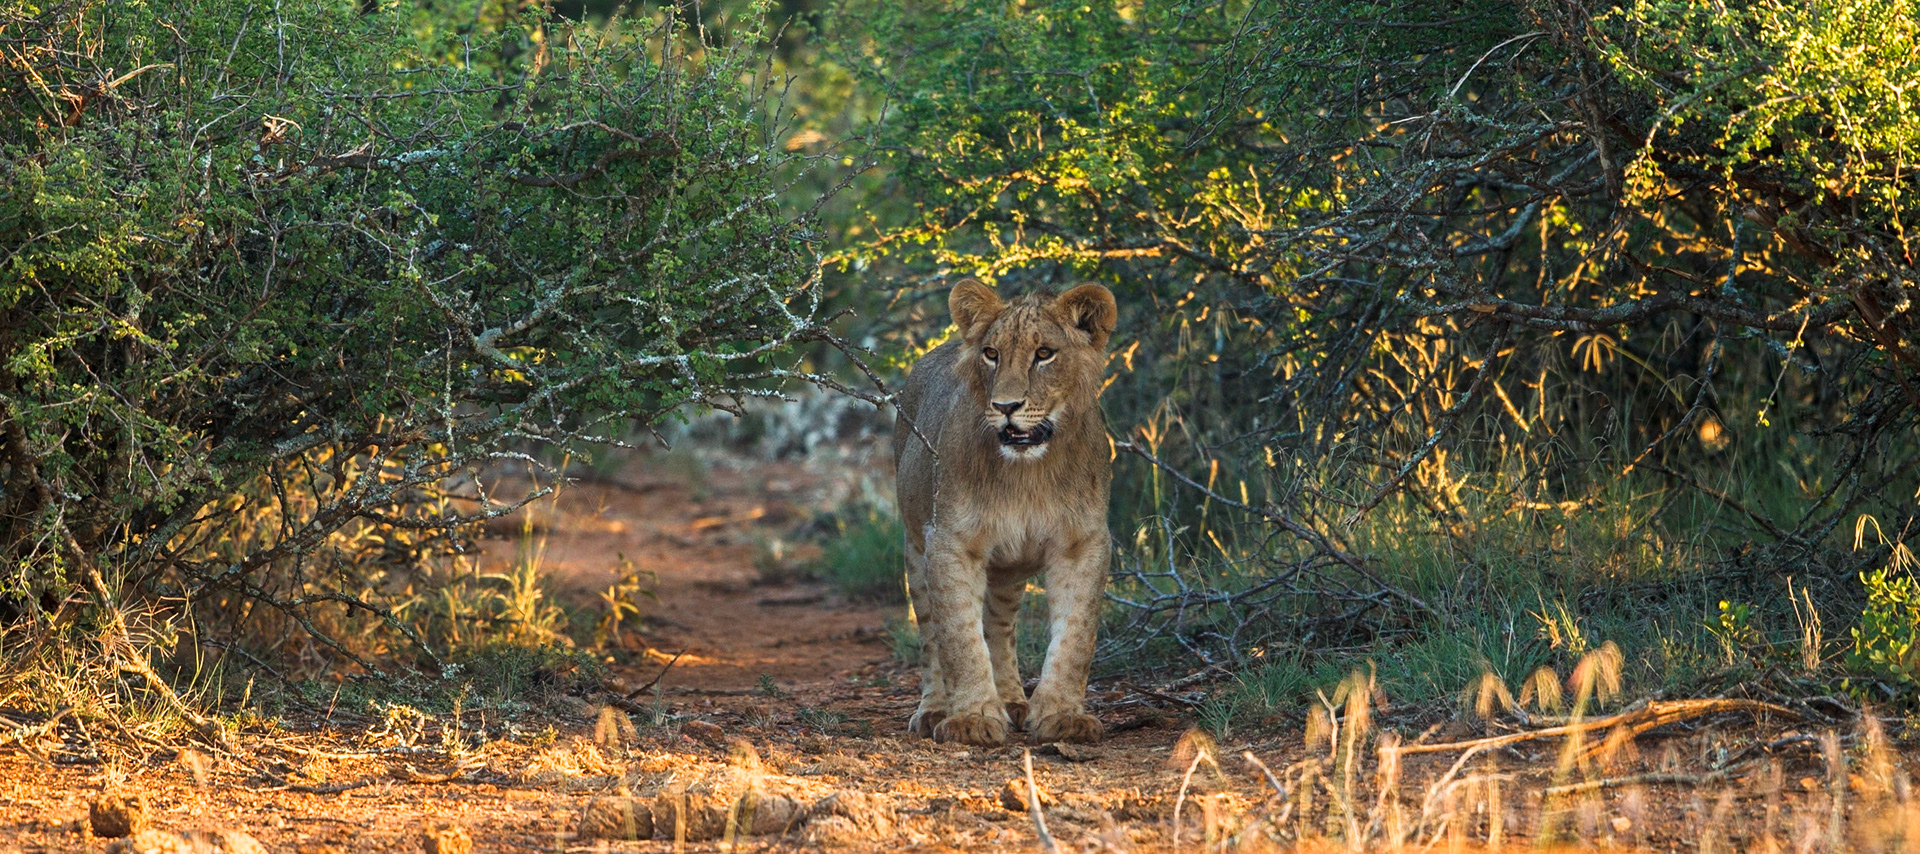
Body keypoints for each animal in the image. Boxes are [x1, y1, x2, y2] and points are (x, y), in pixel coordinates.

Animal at [891, 279, 1118, 746]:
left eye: (1044, 353)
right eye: (991, 354)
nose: (1006, 406)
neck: (1027, 473)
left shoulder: (1082, 543)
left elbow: (1075, 636)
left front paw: (1062, 715)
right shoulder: (950, 542)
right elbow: (958, 636)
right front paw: (972, 718)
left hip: (1011, 569)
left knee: (1000, 628)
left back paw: (1014, 700)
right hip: (915, 547)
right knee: (929, 634)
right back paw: (934, 709)